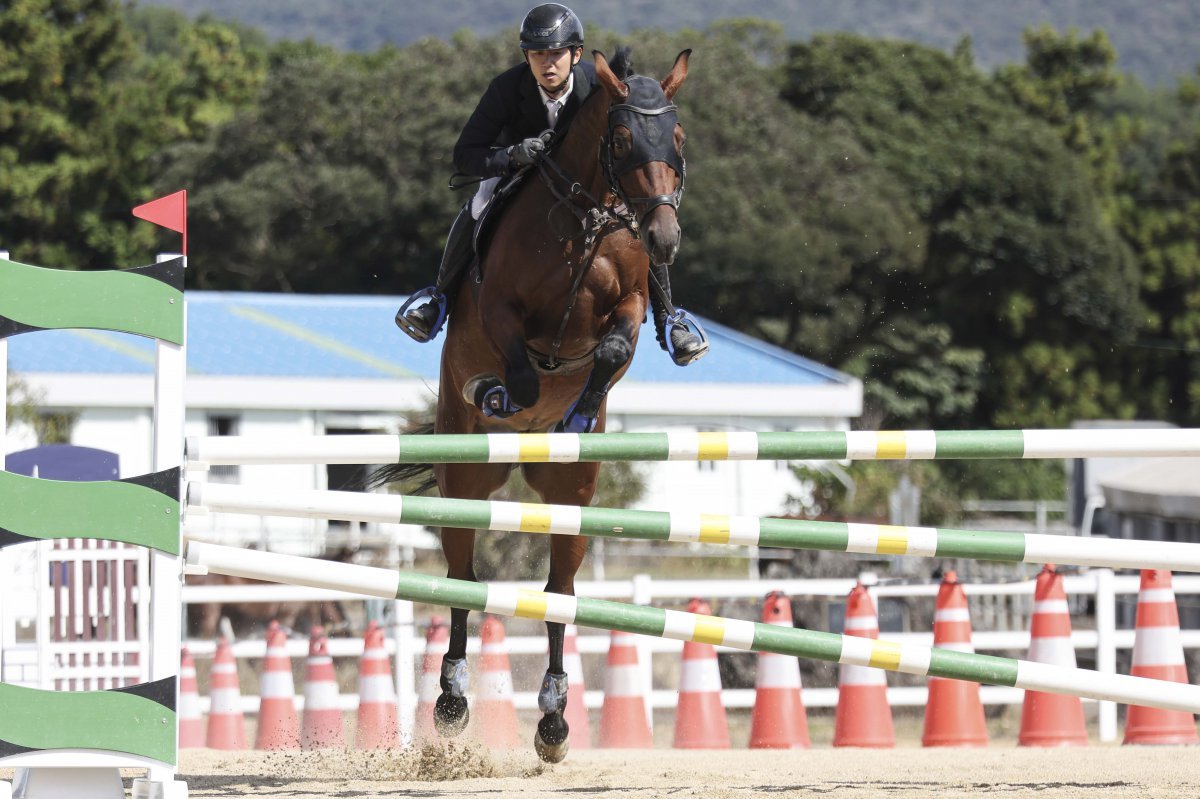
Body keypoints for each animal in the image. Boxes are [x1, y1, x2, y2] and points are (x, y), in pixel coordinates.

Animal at [374, 44, 696, 758]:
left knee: (559, 592)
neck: (587, 216)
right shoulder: (501, 310)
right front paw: (495, 392)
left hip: (570, 498)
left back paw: (553, 718)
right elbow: (520, 376)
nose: (663, 237)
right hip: (465, 485)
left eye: (679, 138)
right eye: (623, 139)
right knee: (462, 579)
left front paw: (578, 412)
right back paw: (452, 701)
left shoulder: (630, 305)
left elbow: (611, 349)